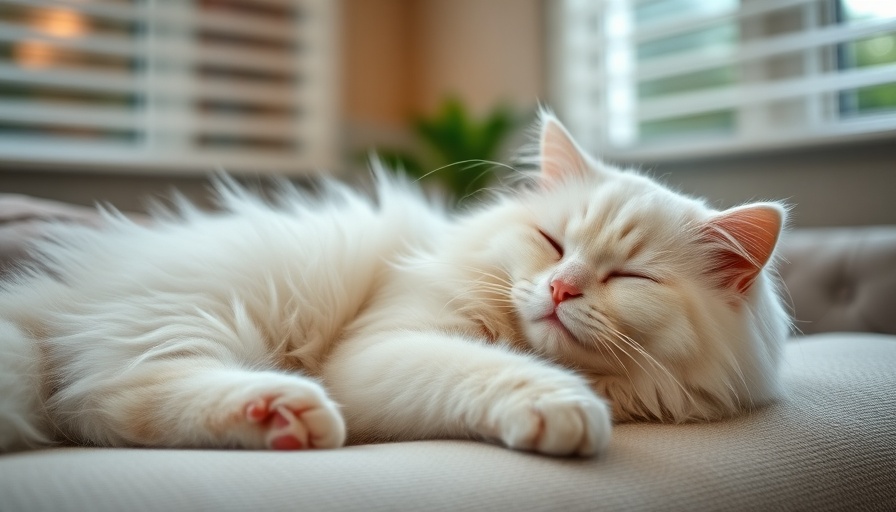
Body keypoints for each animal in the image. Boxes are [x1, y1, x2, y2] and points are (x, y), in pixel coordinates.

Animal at [0, 113, 792, 456]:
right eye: (553, 244)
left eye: (629, 276)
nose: (563, 289)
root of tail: (49, 293)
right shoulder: (378, 351)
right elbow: (491, 369)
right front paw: (563, 407)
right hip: (211, 304)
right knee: (106, 399)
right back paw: (290, 412)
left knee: (101, 409)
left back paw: (279, 422)